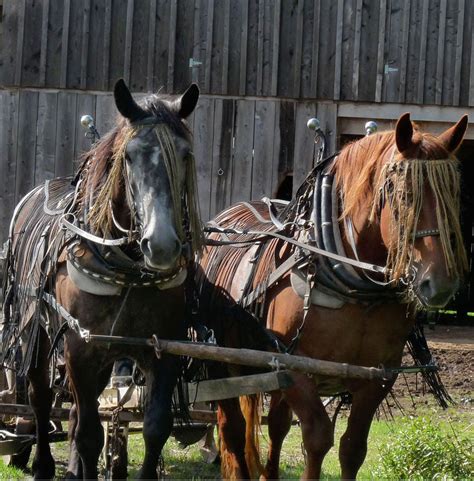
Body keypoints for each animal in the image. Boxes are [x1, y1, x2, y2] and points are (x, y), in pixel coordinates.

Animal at [1, 80, 202, 478]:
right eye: (130, 157)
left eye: (184, 155)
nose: (161, 245)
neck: (129, 272)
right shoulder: (79, 348)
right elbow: (90, 434)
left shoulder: (163, 349)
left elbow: (155, 427)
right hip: (37, 333)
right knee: (41, 398)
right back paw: (44, 463)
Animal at [198, 112, 468, 476]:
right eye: (400, 192)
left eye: (452, 190)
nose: (438, 283)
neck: (356, 292)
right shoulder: (295, 366)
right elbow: (317, 438)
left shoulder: (379, 376)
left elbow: (352, 448)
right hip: (222, 360)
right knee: (233, 429)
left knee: (277, 425)